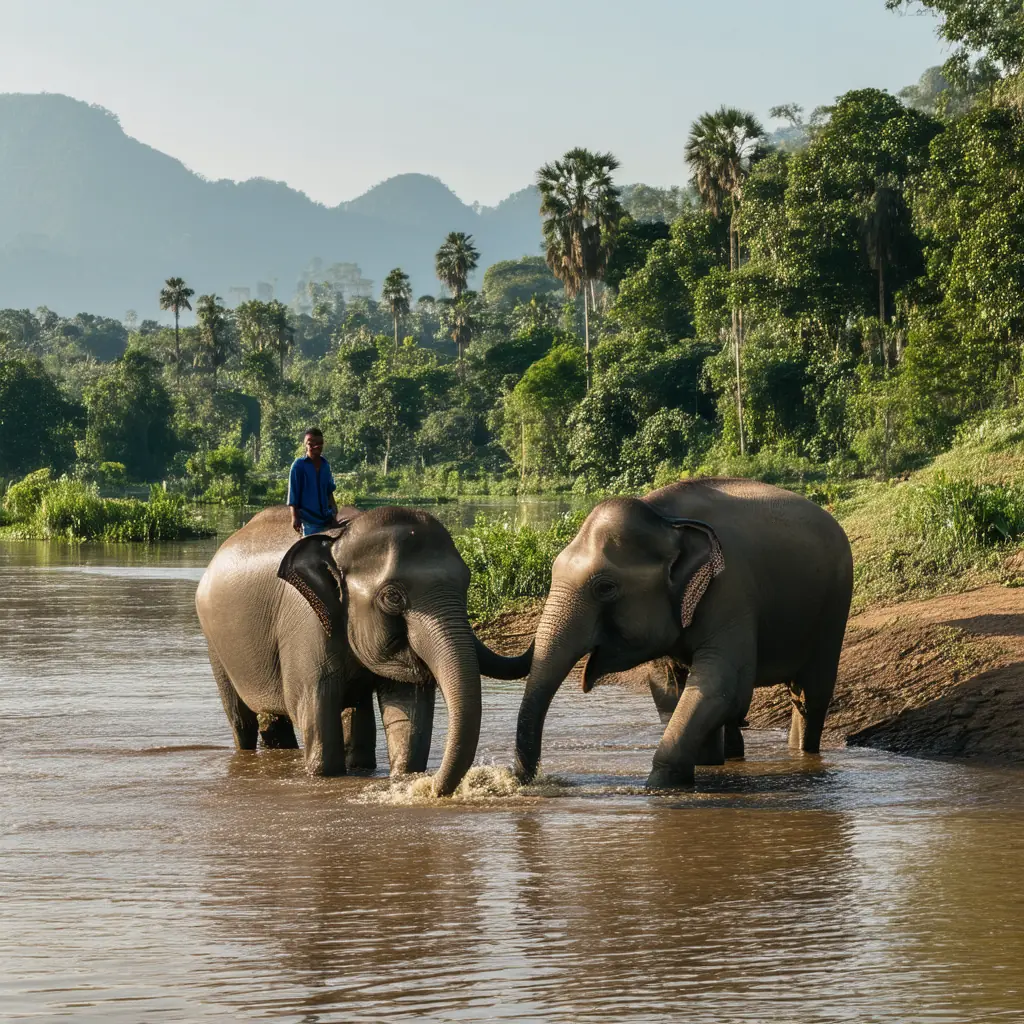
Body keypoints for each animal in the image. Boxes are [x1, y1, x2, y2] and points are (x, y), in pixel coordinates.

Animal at [195, 505, 530, 796]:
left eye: (467, 583)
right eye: (393, 597)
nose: (432, 789)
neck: (340, 540)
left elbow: (407, 710)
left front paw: (406, 777)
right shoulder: (304, 626)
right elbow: (314, 711)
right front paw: (323, 777)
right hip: (215, 644)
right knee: (242, 722)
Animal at [514, 478, 853, 789]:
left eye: (605, 588)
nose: (525, 781)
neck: (666, 520)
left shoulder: (731, 590)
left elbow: (722, 685)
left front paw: (660, 785)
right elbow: (668, 687)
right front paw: (703, 766)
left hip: (834, 607)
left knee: (811, 694)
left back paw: (803, 754)